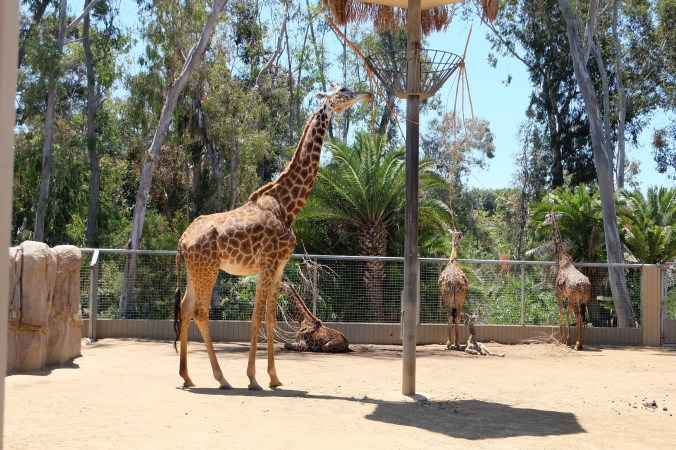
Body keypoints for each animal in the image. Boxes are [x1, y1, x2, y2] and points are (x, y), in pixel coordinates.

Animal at [173, 84, 371, 389]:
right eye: (343, 90)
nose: (368, 95)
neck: (287, 207)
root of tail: (183, 240)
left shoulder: (279, 266)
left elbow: (270, 319)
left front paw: (274, 377)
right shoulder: (267, 263)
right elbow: (255, 318)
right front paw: (253, 378)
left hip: (197, 270)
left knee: (185, 309)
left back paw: (187, 376)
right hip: (208, 269)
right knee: (200, 313)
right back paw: (222, 378)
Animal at [543, 212, 592, 351]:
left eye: (547, 217)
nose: (543, 223)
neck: (562, 259)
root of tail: (584, 285)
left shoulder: (559, 294)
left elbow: (560, 315)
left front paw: (560, 340)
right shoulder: (568, 297)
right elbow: (568, 316)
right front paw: (568, 341)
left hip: (576, 298)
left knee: (579, 315)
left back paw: (578, 345)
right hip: (584, 299)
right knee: (582, 316)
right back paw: (580, 344)